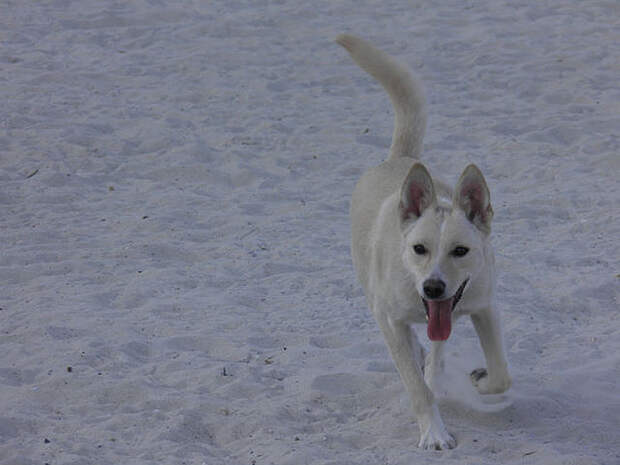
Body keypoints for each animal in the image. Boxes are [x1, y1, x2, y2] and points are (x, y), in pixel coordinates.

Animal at [336, 34, 512, 448]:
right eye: (419, 249)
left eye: (460, 251)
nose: (432, 287)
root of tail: (399, 159)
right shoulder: (393, 322)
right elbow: (417, 389)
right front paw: (434, 434)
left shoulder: (484, 306)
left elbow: (500, 373)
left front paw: (479, 380)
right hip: (372, 294)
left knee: (437, 349)